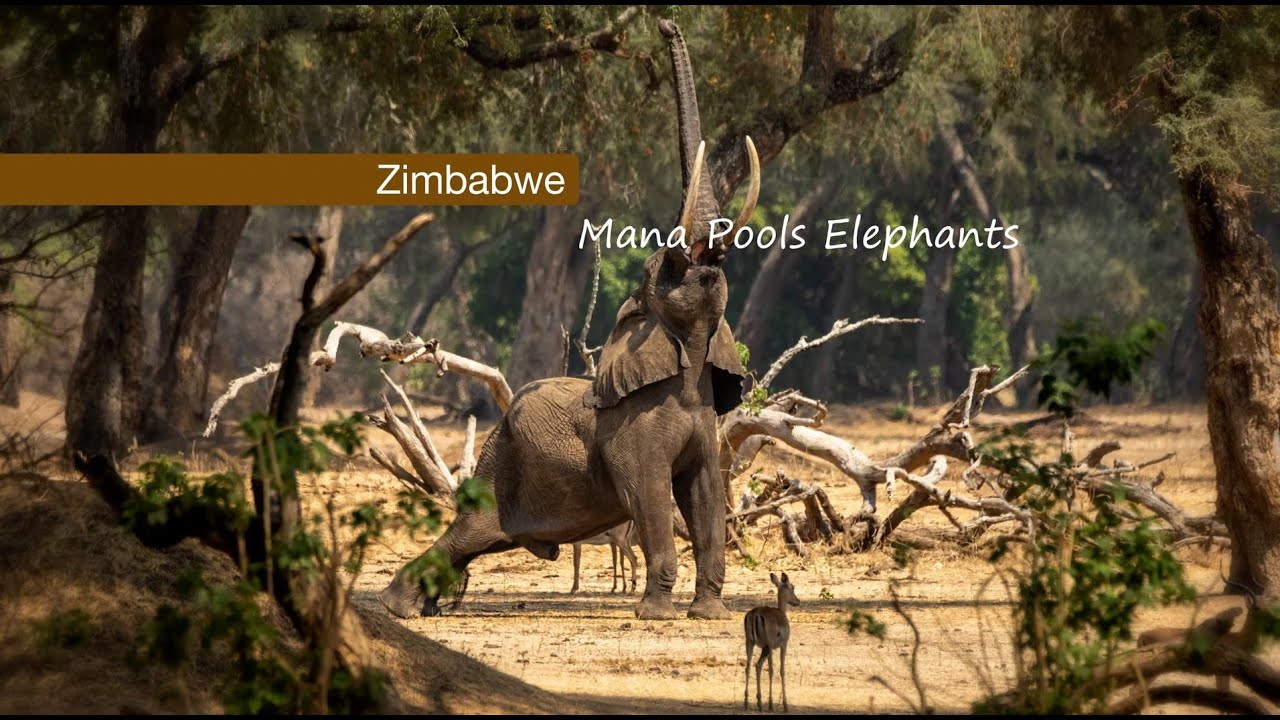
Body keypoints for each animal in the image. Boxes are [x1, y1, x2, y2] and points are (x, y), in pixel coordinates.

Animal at [379, 19, 760, 621]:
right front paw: (654, 615)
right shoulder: (634, 428)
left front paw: (709, 615)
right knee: (468, 534)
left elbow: (704, 497)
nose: (667, 23)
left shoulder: (704, 422)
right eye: (670, 267)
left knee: (473, 543)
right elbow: (649, 495)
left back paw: (416, 605)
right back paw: (397, 607)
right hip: (498, 465)